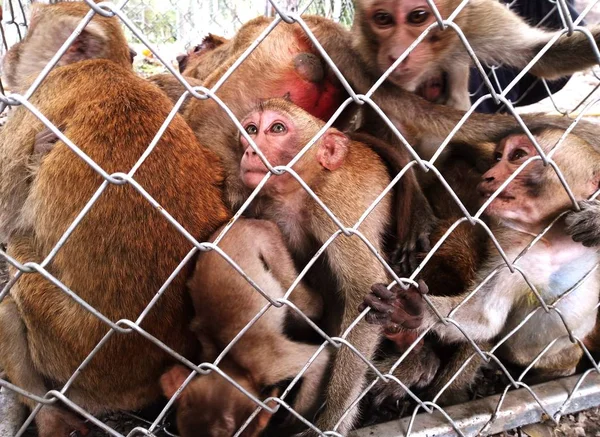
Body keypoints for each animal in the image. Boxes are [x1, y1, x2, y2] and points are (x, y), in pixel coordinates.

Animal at [0, 1, 229, 434]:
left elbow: (4, 215)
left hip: (63, 351)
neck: (106, 67)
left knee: (15, 273)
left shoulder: (39, 101)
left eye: (32, 28)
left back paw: (48, 412)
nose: (12, 54)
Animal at [162, 218, 330, 436]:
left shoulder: (267, 364)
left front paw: (294, 424)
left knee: (308, 304)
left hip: (267, 241)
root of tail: (243, 221)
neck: (232, 364)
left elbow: (320, 361)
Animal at [354, 0, 600, 109]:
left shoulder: (479, 18)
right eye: (383, 18)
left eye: (418, 16)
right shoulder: (364, 52)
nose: (396, 55)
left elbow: (540, 56)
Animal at [364, 127, 600, 382]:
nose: (488, 175)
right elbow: (484, 317)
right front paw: (410, 309)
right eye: (498, 158)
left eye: (517, 155)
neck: (549, 238)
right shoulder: (510, 259)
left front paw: (595, 222)